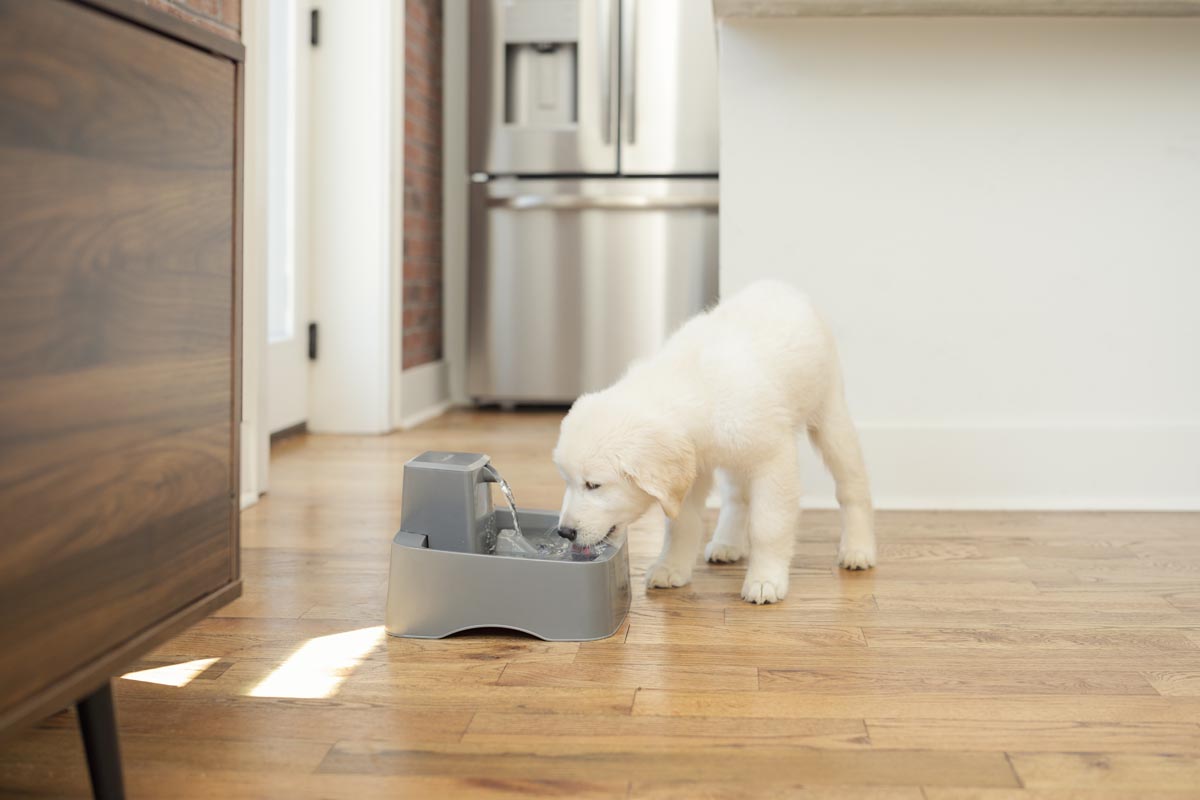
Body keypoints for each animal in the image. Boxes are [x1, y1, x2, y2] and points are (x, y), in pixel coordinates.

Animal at [549, 278, 873, 604]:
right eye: (567, 482)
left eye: (594, 485)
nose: (565, 532)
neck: (696, 390)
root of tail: (776, 284)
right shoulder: (691, 472)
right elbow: (681, 526)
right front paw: (671, 567)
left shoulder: (773, 462)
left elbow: (768, 526)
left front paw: (765, 579)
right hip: (735, 458)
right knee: (737, 498)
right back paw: (727, 544)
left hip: (830, 415)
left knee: (852, 487)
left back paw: (858, 549)